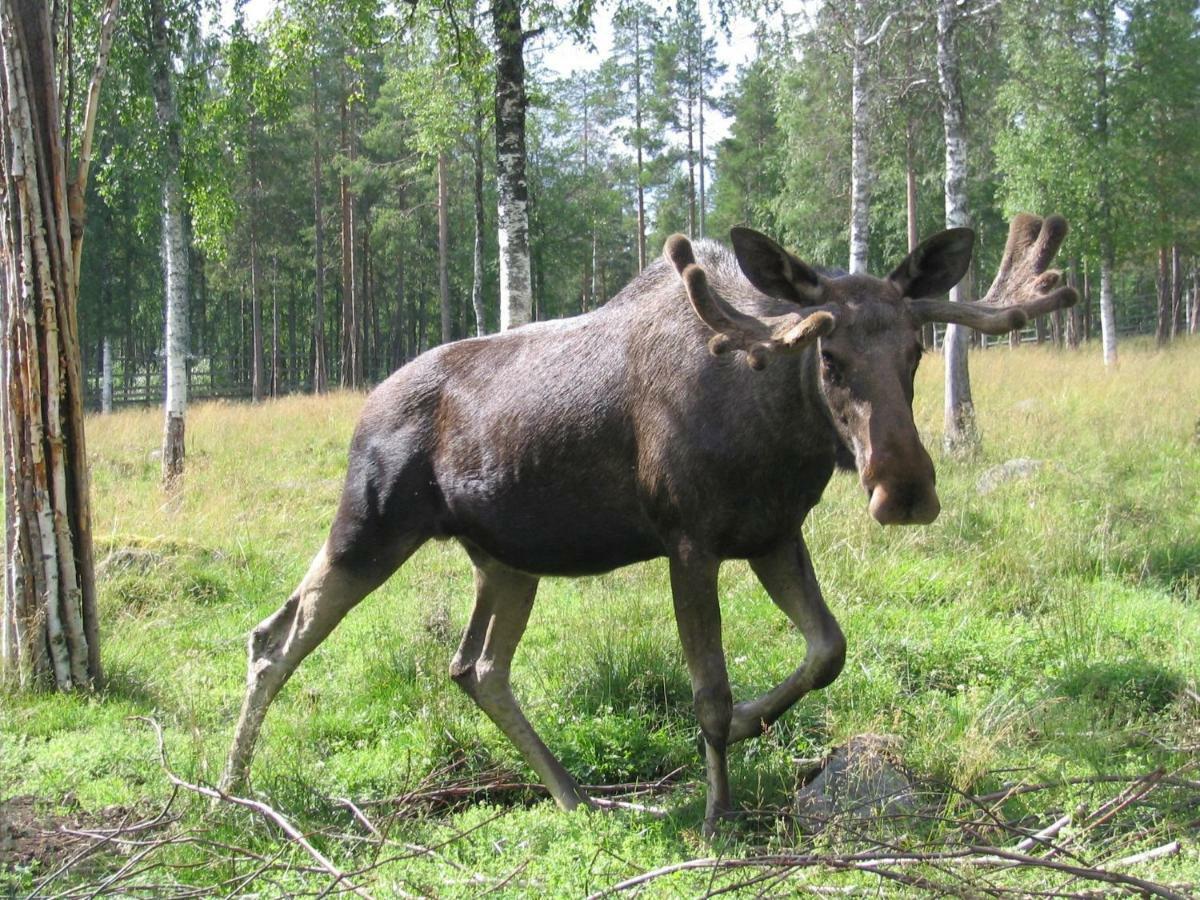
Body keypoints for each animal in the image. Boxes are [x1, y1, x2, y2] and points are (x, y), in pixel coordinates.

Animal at [223, 214, 1080, 835]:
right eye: (829, 356)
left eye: (916, 350)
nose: (903, 489)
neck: (777, 433)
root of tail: (364, 402)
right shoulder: (688, 540)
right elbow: (709, 690)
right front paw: (717, 811)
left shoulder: (773, 534)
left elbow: (827, 649)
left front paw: (751, 726)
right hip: (371, 524)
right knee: (276, 637)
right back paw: (233, 793)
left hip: (507, 558)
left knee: (476, 667)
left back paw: (576, 794)